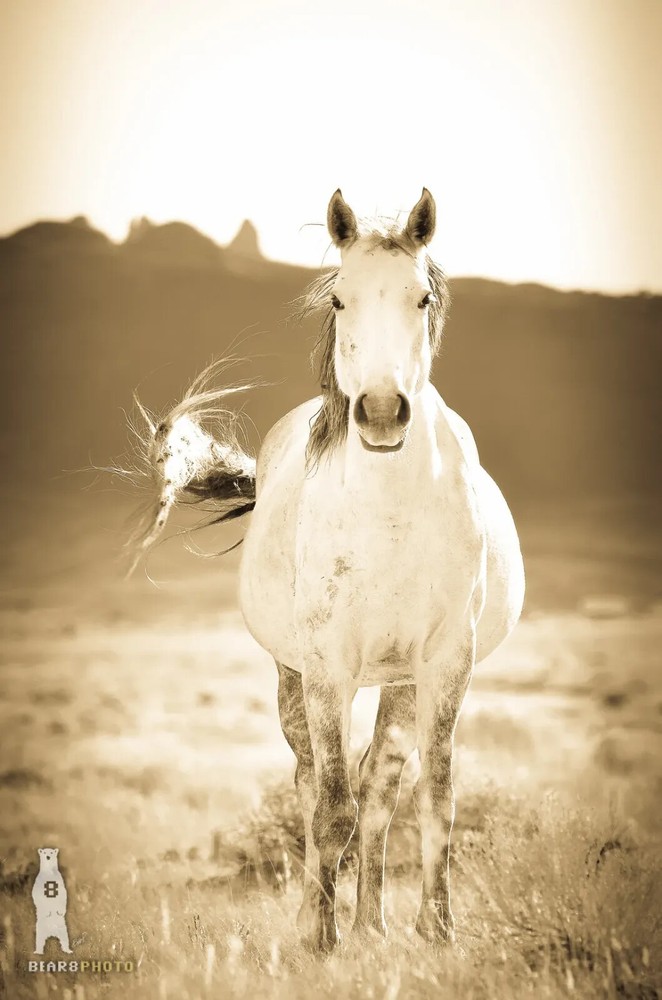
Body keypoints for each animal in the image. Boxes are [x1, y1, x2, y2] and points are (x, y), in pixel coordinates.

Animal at [132, 188, 525, 952]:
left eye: (422, 296)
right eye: (340, 298)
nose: (380, 412)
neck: (390, 514)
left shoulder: (445, 661)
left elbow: (434, 797)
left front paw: (436, 929)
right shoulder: (326, 664)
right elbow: (330, 806)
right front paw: (319, 938)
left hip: (399, 681)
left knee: (380, 789)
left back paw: (373, 922)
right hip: (297, 679)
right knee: (313, 784)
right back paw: (322, 918)